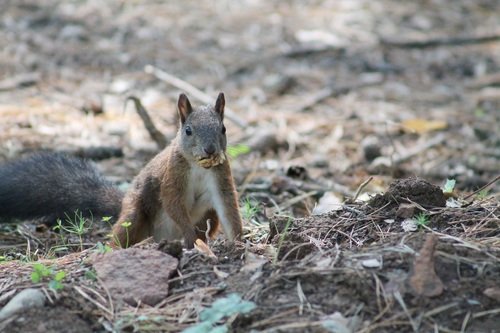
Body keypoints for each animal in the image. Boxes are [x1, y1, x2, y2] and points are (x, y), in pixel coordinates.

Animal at [0, 92, 242, 248]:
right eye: (188, 130)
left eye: (223, 128)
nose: (210, 150)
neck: (198, 166)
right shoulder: (171, 177)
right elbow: (173, 203)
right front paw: (191, 237)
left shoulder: (220, 177)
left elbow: (227, 207)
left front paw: (239, 241)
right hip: (134, 215)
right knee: (120, 235)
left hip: (206, 216)